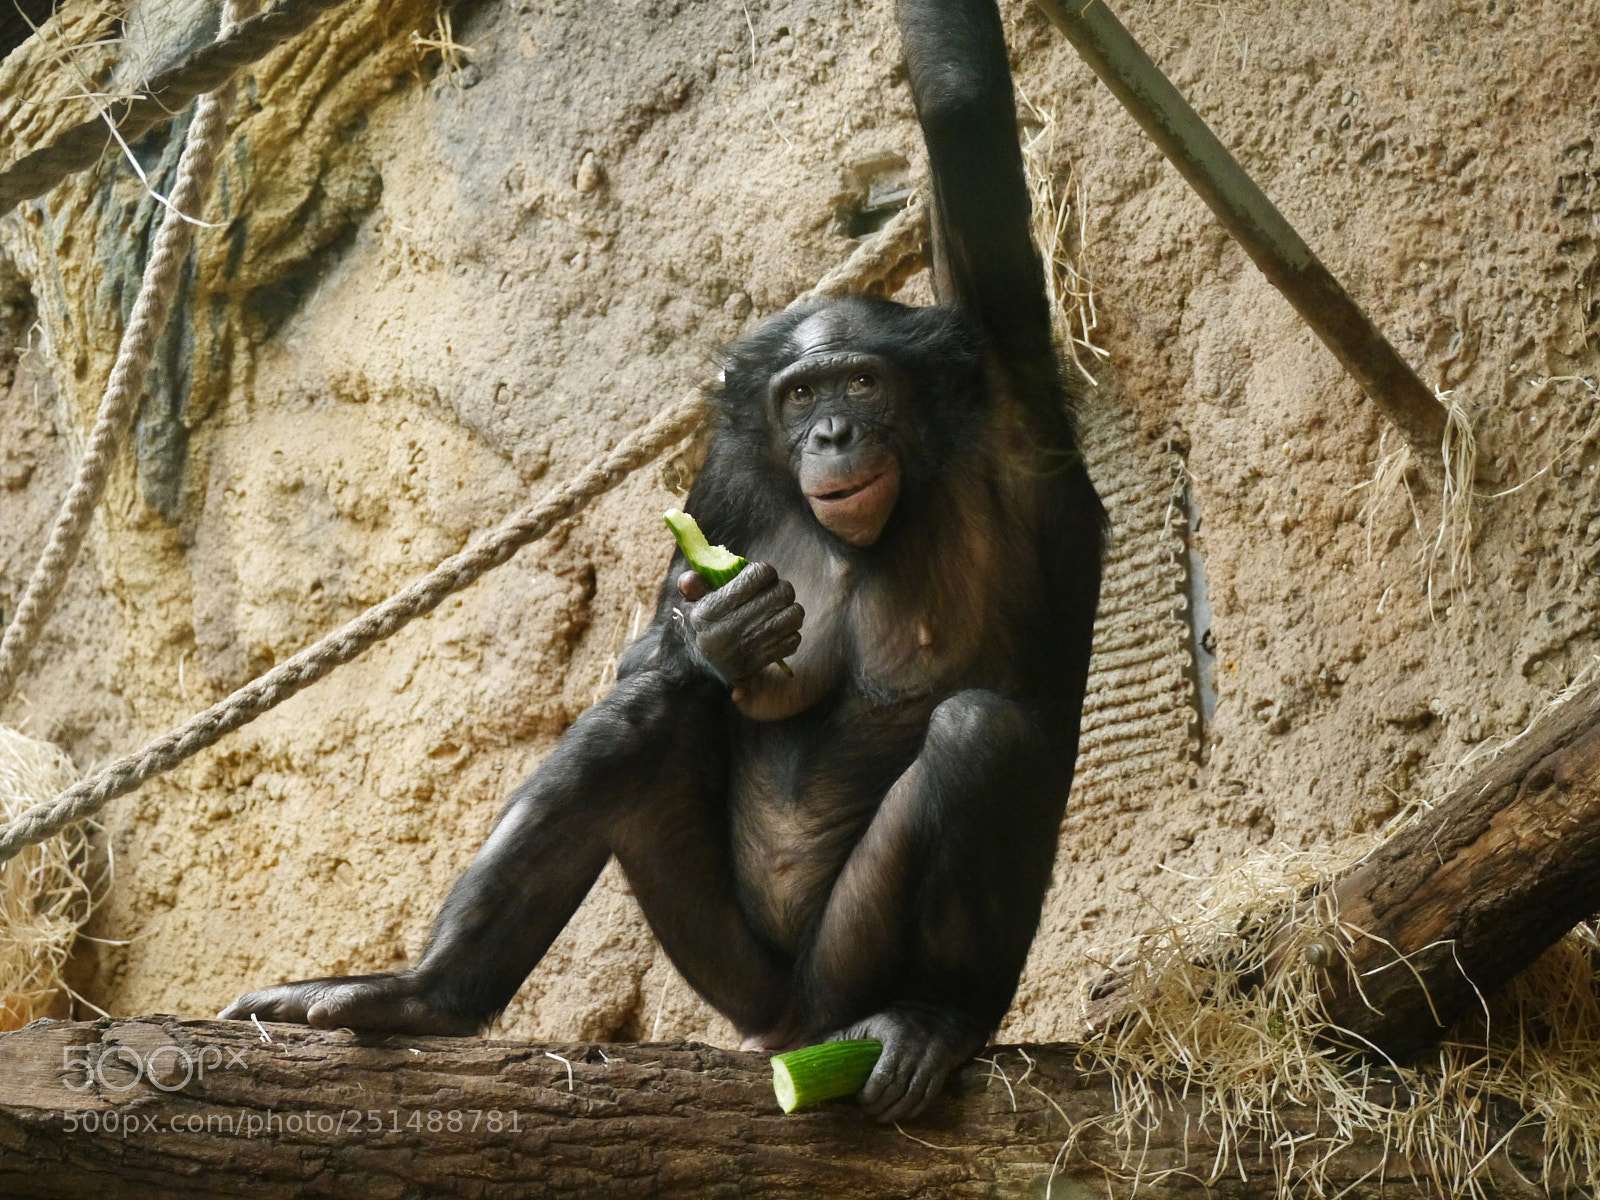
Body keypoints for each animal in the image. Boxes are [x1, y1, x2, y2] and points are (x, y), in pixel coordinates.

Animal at [222, 0, 1105, 1122]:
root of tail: (787, 1029)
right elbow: (647, 652)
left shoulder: (999, 372)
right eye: (798, 397)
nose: (831, 436)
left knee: (977, 736)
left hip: (843, 971)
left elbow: (957, 108)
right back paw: (419, 997)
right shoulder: (724, 476)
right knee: (630, 723)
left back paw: (929, 1020)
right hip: (725, 967)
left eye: (861, 383)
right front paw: (710, 634)